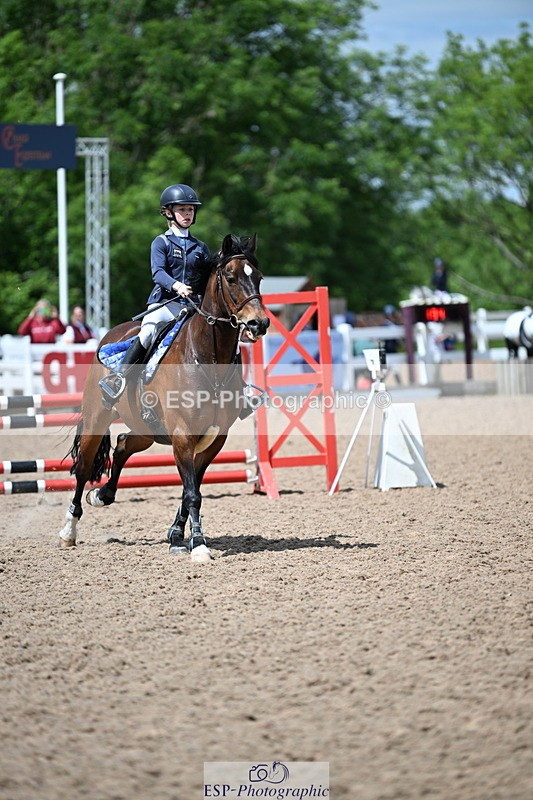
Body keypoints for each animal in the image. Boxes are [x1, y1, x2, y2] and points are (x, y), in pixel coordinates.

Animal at [58, 233, 270, 563]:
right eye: (232, 278)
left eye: (258, 277)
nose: (259, 324)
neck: (206, 358)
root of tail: (110, 335)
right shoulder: (183, 436)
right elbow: (192, 491)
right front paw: (199, 545)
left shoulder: (214, 439)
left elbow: (190, 489)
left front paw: (177, 536)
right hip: (97, 418)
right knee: (83, 468)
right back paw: (69, 529)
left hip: (147, 429)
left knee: (123, 445)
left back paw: (104, 494)